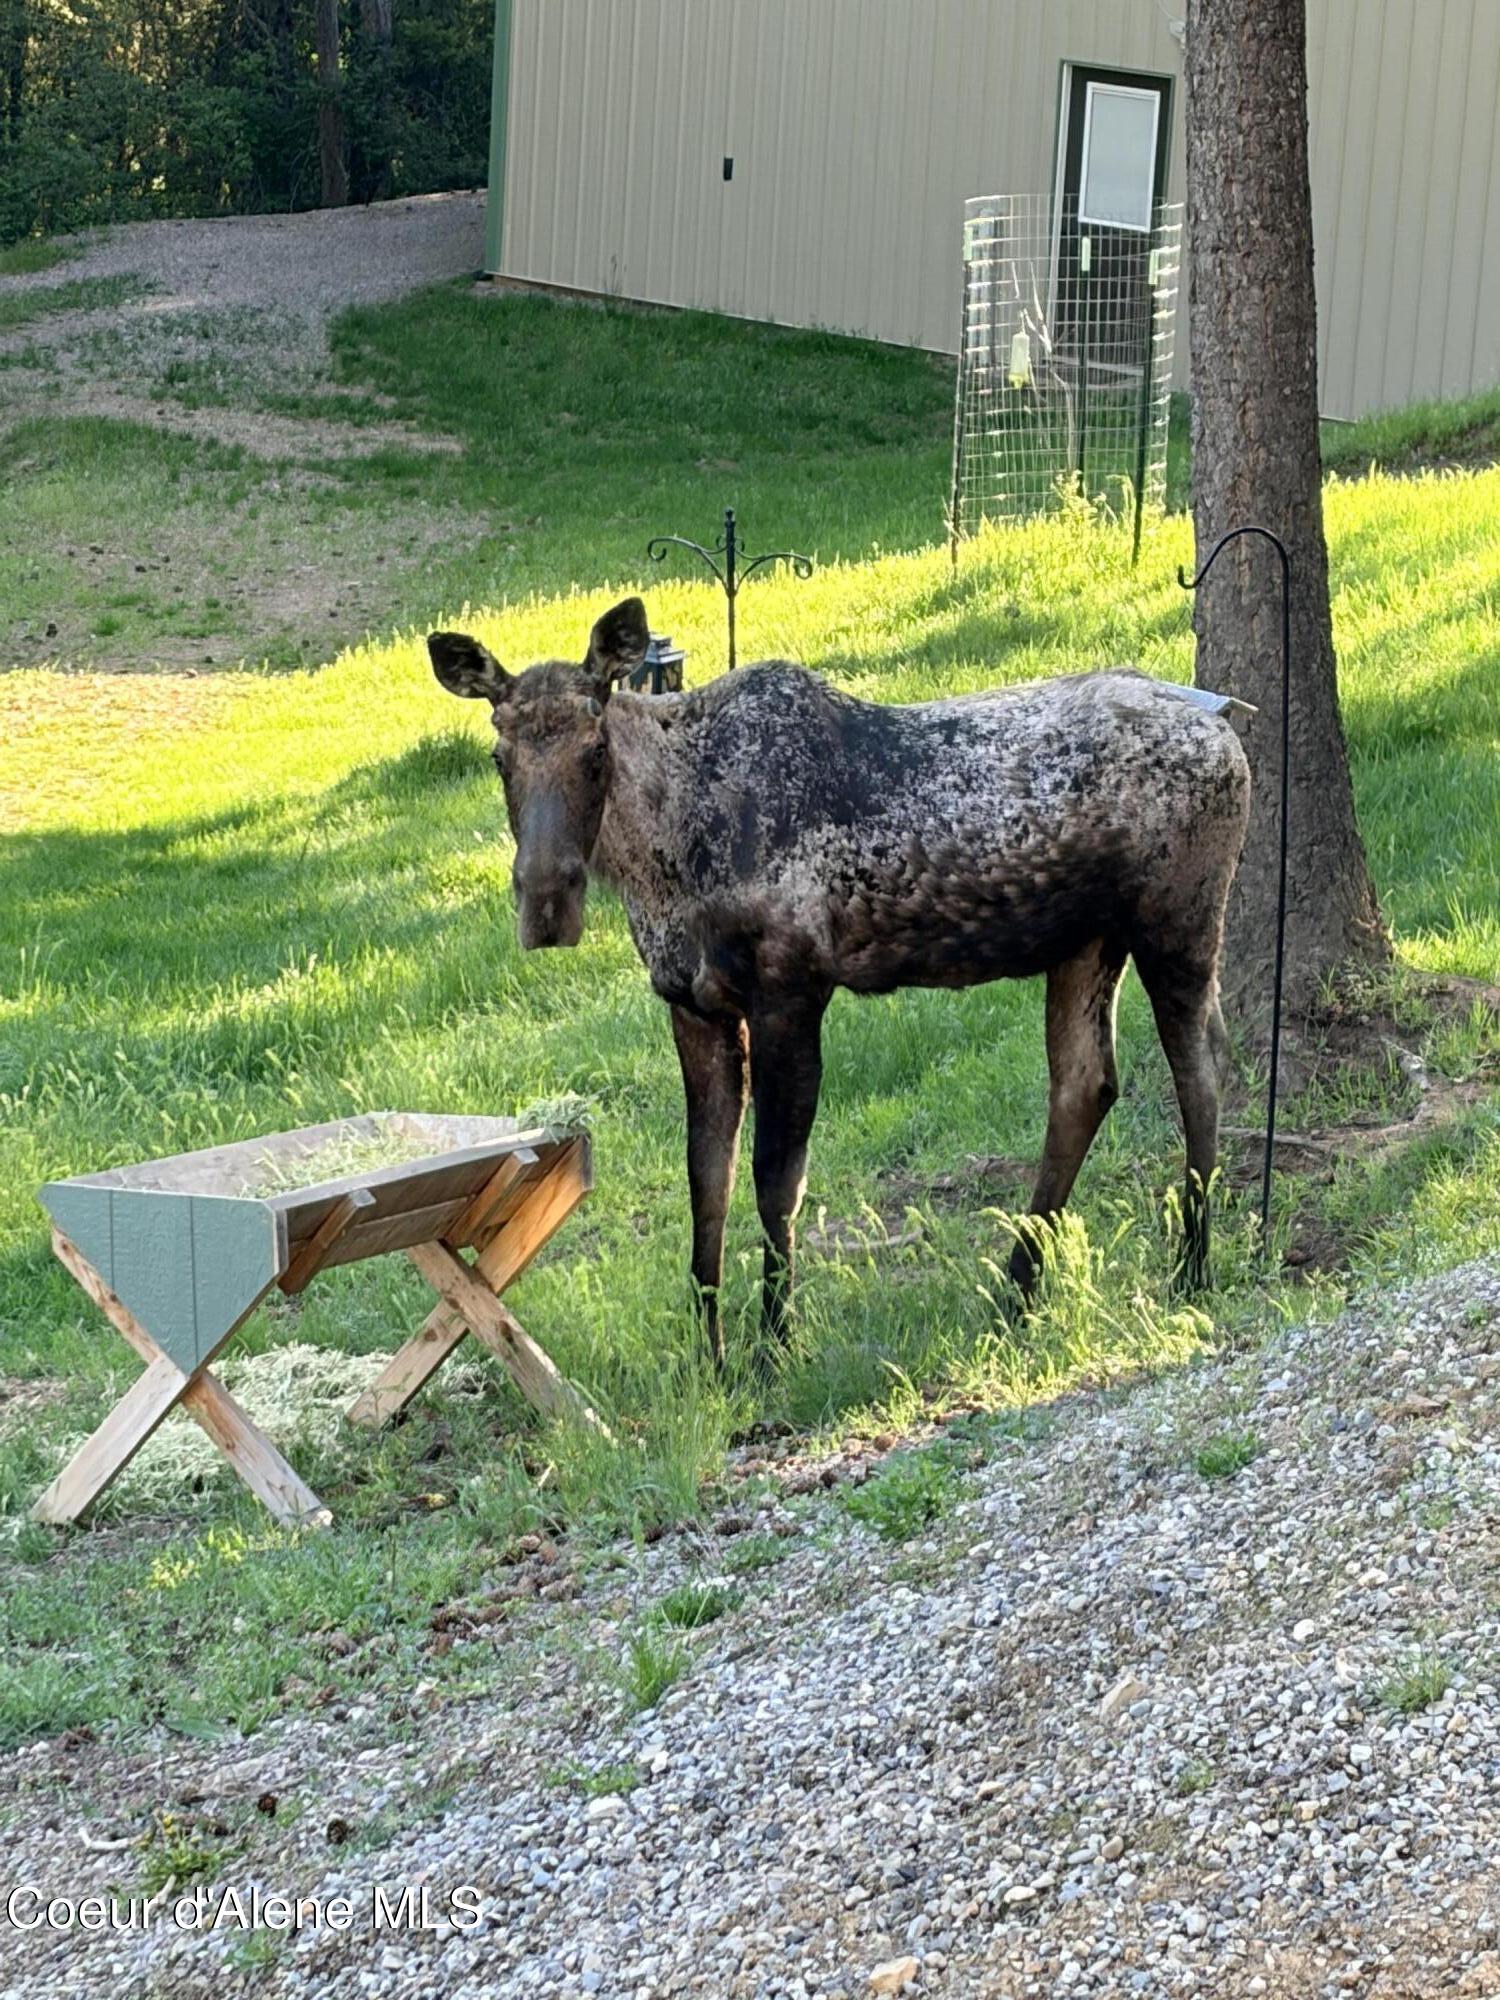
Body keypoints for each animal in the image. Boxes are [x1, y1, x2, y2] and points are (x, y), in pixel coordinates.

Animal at [429, 597, 1250, 1367]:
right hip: (1084, 943)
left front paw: (774, 1347)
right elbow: (705, 1180)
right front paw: (710, 1357)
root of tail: (1231, 730)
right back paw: (1016, 1291)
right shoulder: (692, 1005)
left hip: (1179, 919)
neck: (658, 869)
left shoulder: (791, 989)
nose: (546, 903)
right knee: (1086, 1084)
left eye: (596, 749)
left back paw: (1191, 1268)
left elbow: (774, 1181)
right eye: (500, 756)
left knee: (1202, 1066)